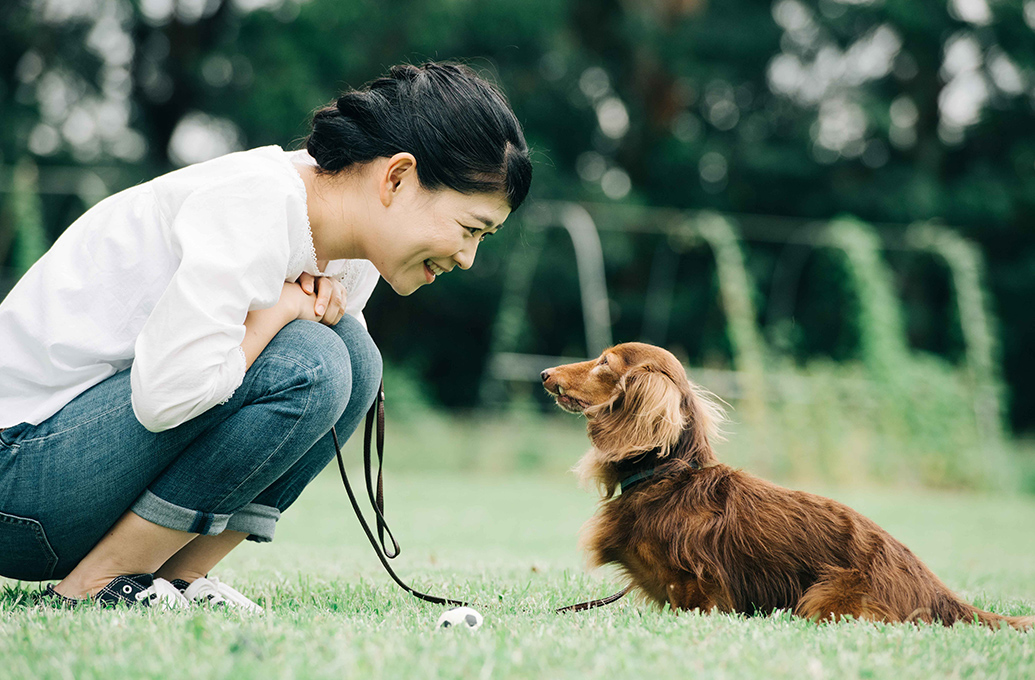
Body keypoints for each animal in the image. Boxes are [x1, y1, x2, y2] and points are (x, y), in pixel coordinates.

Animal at [542, 341, 1035, 629]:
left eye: (604, 363)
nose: (545, 374)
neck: (667, 478)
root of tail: (938, 592)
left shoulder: (701, 590)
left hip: (824, 599)